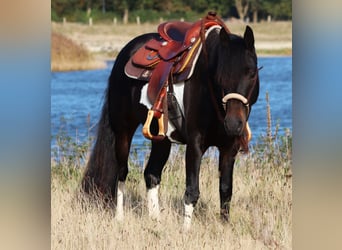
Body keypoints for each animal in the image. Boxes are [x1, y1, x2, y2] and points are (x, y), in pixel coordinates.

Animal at [82, 16, 260, 230]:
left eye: (251, 73)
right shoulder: (195, 145)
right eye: (220, 76)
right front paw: (186, 231)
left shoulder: (229, 148)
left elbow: (225, 190)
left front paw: (224, 227)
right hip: (123, 131)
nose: (233, 124)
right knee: (122, 172)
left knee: (151, 174)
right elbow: (192, 190)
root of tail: (125, 54)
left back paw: (155, 220)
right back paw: (120, 218)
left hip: (161, 140)